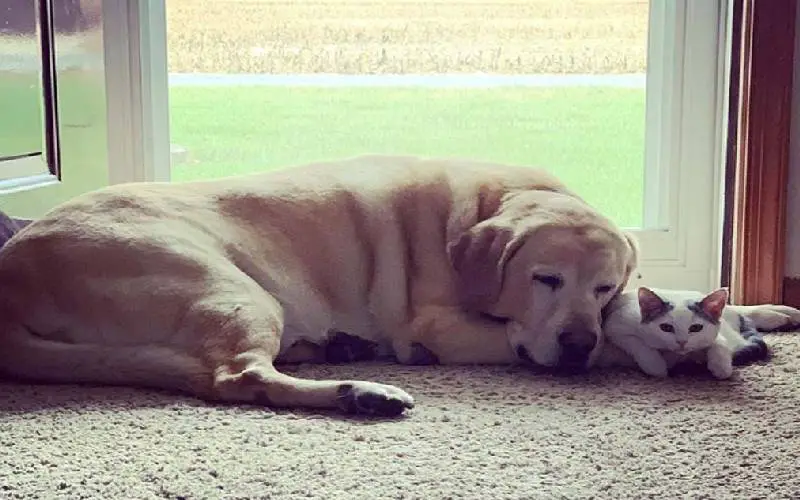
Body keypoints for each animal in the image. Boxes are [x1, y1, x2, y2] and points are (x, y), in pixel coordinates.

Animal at [0, 154, 640, 416]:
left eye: (605, 288)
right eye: (545, 280)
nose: (578, 344)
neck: (485, 205)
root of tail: (14, 272)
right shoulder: (439, 326)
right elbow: (529, 340)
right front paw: (623, 351)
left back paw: (341, 351)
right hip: (235, 290)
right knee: (238, 379)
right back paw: (361, 393)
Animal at [604, 290, 764, 378]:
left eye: (696, 328)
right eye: (666, 327)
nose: (682, 342)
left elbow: (719, 341)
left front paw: (721, 366)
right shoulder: (615, 325)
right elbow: (637, 343)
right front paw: (655, 366)